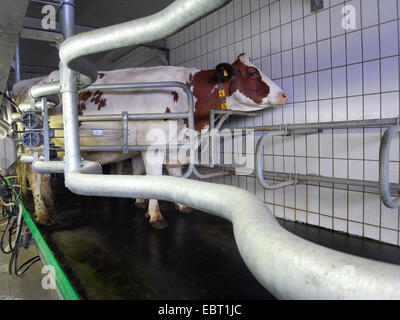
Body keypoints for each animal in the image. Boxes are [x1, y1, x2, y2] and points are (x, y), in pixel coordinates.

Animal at [13, 54, 288, 230]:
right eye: (252, 73)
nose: (284, 94)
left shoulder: (174, 145)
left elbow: (173, 175)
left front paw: (178, 205)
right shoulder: (152, 146)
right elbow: (155, 177)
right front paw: (155, 215)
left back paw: (49, 203)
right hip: (35, 144)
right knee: (35, 175)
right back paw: (42, 214)